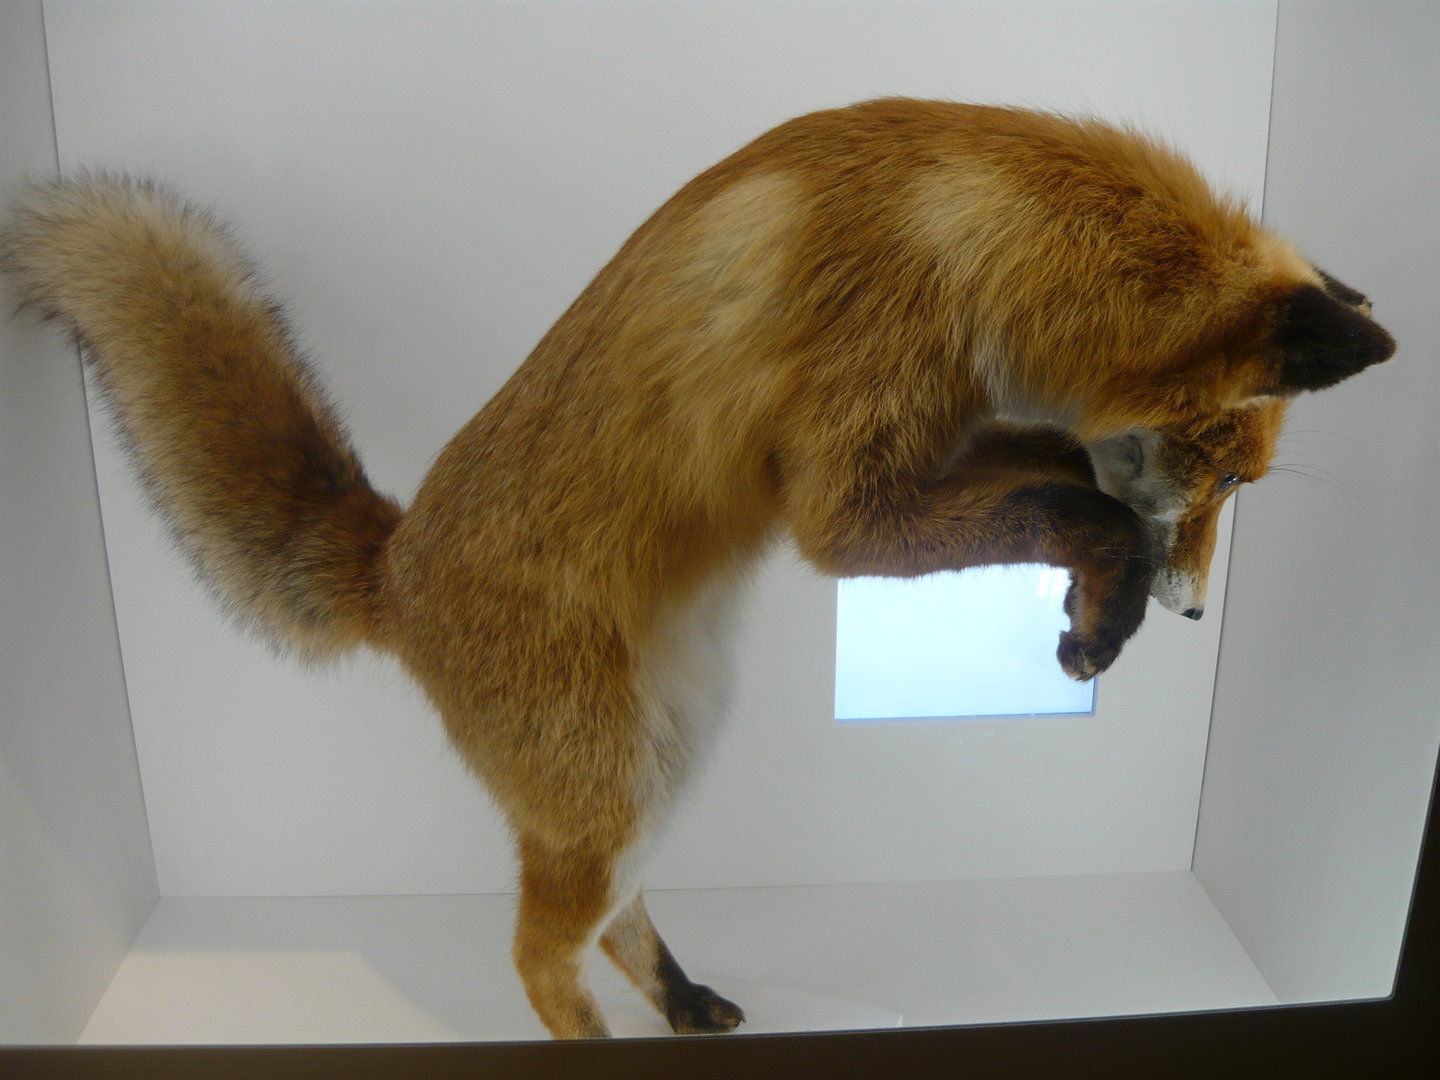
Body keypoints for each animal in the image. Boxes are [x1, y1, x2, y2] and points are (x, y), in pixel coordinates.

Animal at [1, 99, 1393, 1039]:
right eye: (1231, 482)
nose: (1200, 612)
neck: (960, 228)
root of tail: (391, 562)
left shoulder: (948, 430)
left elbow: (1059, 472)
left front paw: (1092, 609)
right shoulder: (845, 501)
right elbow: (1073, 505)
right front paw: (1104, 612)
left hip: (655, 766)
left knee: (613, 918)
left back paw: (682, 1005)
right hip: (605, 783)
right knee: (534, 953)